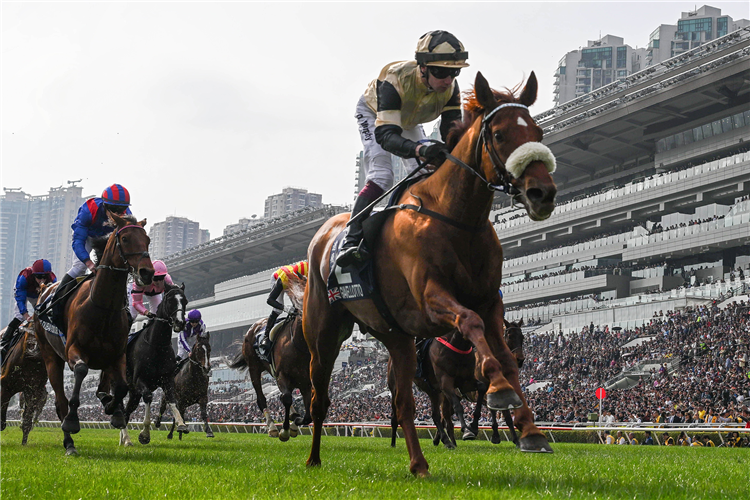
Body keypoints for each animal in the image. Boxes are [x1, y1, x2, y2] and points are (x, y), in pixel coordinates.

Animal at [35, 213, 154, 456]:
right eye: (125, 238)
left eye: (147, 239)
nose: (147, 272)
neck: (102, 307)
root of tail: (44, 290)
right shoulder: (74, 350)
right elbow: (81, 371)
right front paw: (72, 421)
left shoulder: (117, 355)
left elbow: (121, 387)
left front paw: (113, 410)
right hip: (50, 356)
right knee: (60, 400)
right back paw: (69, 443)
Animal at [119, 284, 188, 448]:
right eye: (170, 300)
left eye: (185, 301)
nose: (180, 322)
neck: (156, 345)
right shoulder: (140, 380)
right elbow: (149, 397)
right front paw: (144, 434)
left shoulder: (167, 379)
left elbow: (172, 399)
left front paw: (182, 424)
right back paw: (127, 439)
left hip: (134, 393)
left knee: (127, 411)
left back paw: (124, 439)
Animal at [229, 274, 312, 442]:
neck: (298, 343)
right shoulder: (283, 375)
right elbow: (286, 398)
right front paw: (285, 430)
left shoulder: (305, 380)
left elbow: (307, 415)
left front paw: (295, 423)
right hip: (254, 368)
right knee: (261, 399)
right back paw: (272, 427)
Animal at [306, 71, 560, 476]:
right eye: (499, 134)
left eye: (537, 130)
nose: (542, 193)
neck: (457, 218)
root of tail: (323, 235)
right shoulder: (432, 298)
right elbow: (470, 323)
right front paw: (500, 391)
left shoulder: (490, 303)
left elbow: (503, 356)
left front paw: (529, 430)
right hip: (323, 332)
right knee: (319, 395)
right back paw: (313, 457)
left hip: (395, 336)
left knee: (404, 403)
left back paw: (418, 463)